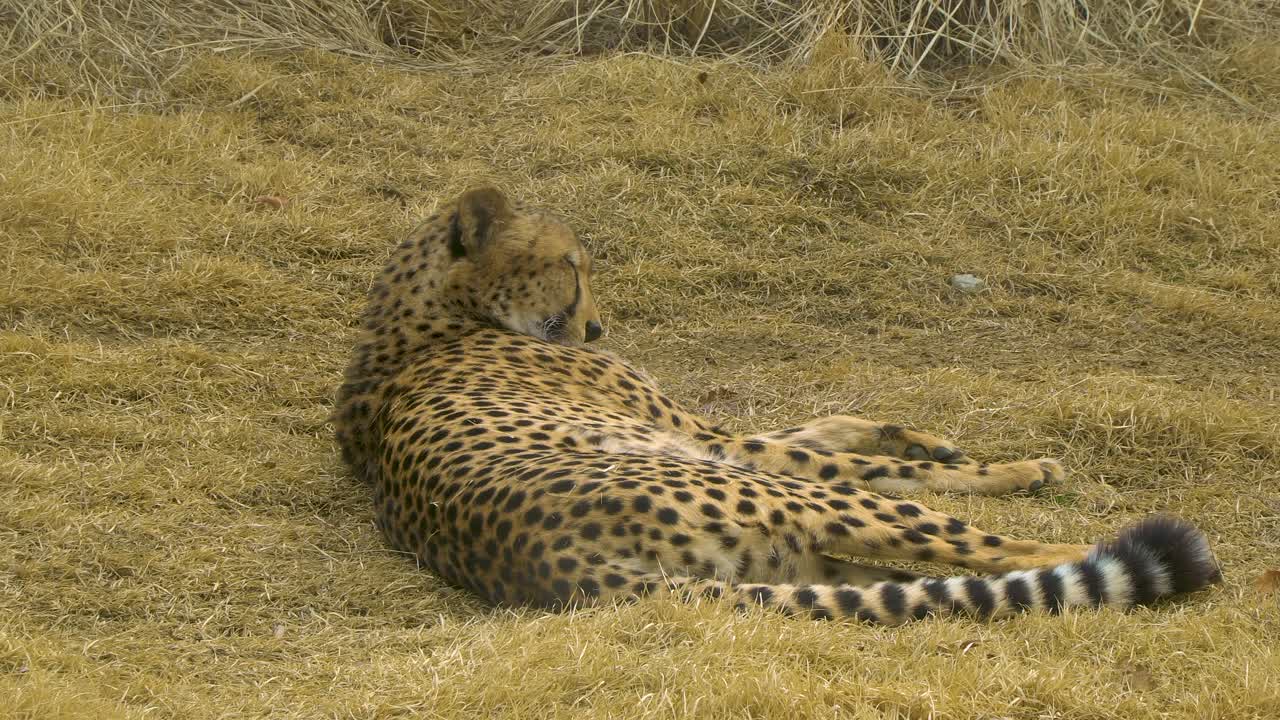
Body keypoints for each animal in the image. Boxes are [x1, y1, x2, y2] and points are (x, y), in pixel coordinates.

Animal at [333, 185, 1220, 624]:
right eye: (569, 266)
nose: (596, 327)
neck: (430, 316)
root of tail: (551, 565)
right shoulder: (721, 444)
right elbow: (855, 456)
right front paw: (1014, 467)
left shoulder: (711, 431)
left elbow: (836, 423)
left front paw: (922, 438)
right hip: (792, 504)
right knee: (995, 550)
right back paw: (1106, 544)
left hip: (790, 558)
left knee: (897, 576)